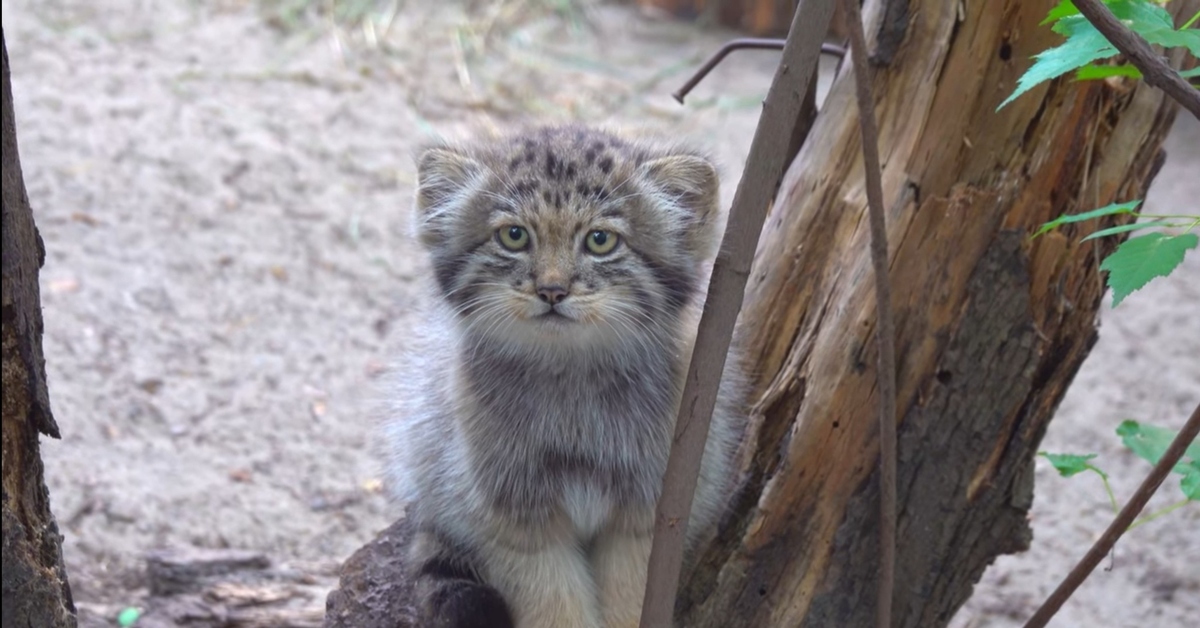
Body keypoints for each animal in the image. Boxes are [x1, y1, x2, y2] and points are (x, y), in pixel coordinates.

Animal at [384, 125, 744, 624]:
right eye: (514, 236)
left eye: (600, 240)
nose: (552, 290)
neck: (572, 379)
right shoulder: (516, 515)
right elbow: (555, 606)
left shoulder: (644, 510)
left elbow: (628, 601)